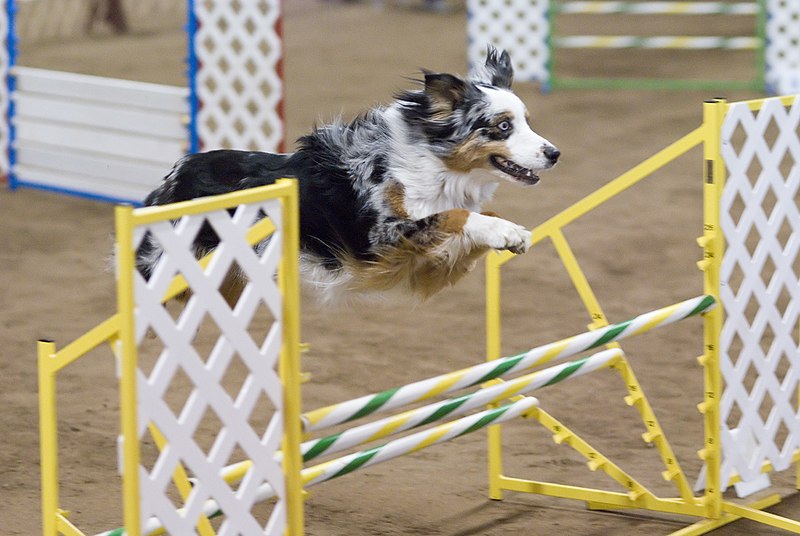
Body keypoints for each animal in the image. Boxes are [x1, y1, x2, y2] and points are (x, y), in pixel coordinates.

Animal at [138, 46, 560, 304]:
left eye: (526, 121)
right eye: (503, 126)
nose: (554, 154)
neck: (433, 166)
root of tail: (174, 174)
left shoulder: (424, 269)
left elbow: (472, 216)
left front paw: (509, 232)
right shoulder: (381, 240)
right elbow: (455, 215)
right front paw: (505, 231)